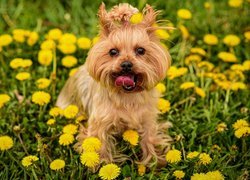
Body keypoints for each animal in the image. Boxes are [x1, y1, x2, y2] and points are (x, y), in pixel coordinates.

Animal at [56, 2, 172, 165]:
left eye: (141, 50)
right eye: (113, 52)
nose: (126, 64)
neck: (127, 95)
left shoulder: (147, 119)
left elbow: (149, 138)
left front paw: (156, 161)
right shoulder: (100, 123)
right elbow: (100, 144)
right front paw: (100, 165)